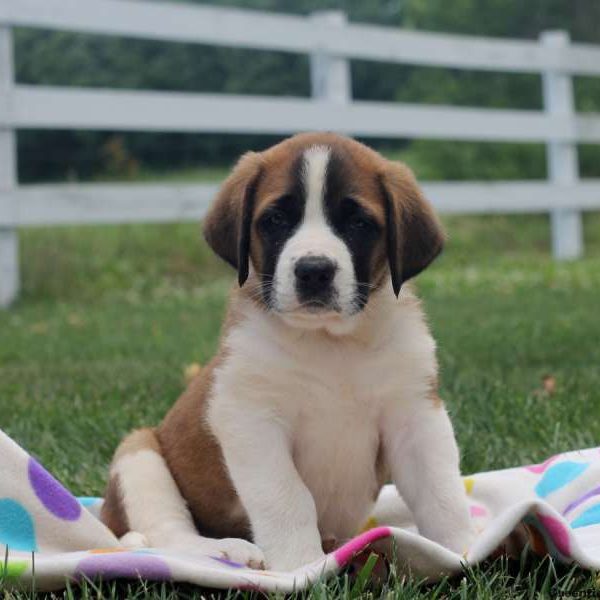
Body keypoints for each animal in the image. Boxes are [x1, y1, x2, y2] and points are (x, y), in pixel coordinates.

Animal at [99, 132, 474, 572]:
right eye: (276, 220)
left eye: (359, 223)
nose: (314, 270)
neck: (332, 345)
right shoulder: (251, 418)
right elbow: (287, 496)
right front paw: (302, 566)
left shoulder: (415, 416)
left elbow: (441, 491)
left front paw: (462, 551)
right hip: (139, 453)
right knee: (162, 531)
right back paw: (223, 550)